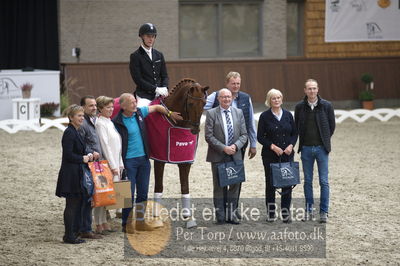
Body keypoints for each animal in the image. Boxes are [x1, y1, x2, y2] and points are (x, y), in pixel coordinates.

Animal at [146, 78, 209, 228]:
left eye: (204, 103)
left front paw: (188, 218)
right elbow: (159, 186)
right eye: (190, 103)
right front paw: (156, 217)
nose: (195, 130)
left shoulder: (185, 160)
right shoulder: (159, 160)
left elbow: (185, 187)